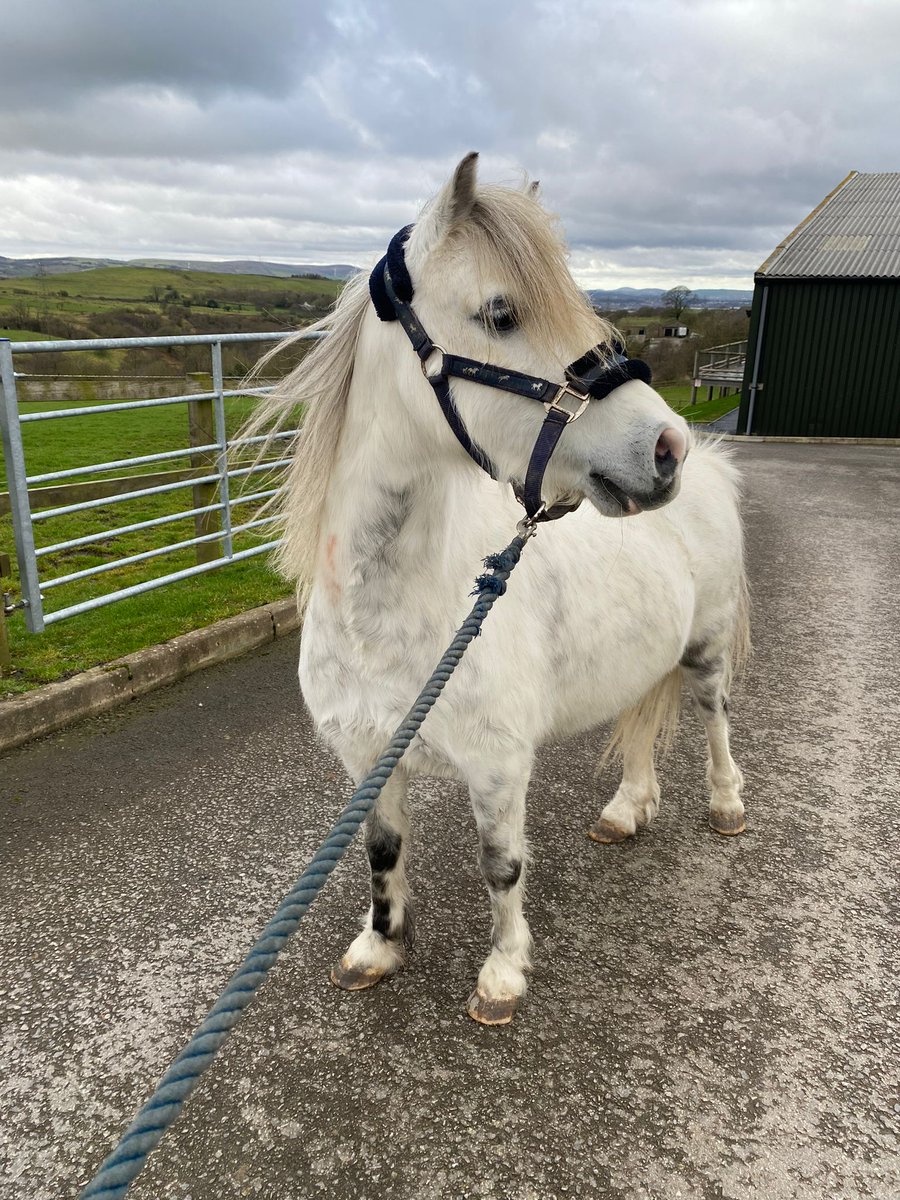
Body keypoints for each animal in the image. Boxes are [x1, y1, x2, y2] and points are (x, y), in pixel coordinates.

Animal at [249, 153, 749, 1025]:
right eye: (501, 312)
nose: (666, 447)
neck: (403, 615)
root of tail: (715, 469)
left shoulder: (498, 766)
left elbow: (502, 865)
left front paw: (504, 972)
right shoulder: (368, 759)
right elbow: (381, 852)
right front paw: (379, 946)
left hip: (707, 646)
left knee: (715, 718)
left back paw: (725, 804)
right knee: (641, 718)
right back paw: (627, 808)